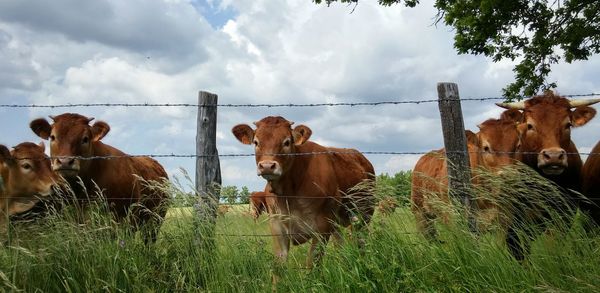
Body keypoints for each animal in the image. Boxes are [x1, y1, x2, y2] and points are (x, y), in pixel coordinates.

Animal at [231, 115, 376, 266]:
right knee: (340, 244)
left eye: (287, 142)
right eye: (256, 142)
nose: (267, 166)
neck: (288, 194)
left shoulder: (322, 227)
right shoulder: (277, 226)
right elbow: (279, 265)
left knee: (360, 240)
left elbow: (312, 263)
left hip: (364, 214)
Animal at [412, 110, 520, 238]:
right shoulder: (453, 217)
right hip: (420, 212)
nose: (510, 177)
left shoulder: (504, 220)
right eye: (486, 148)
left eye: (518, 146)